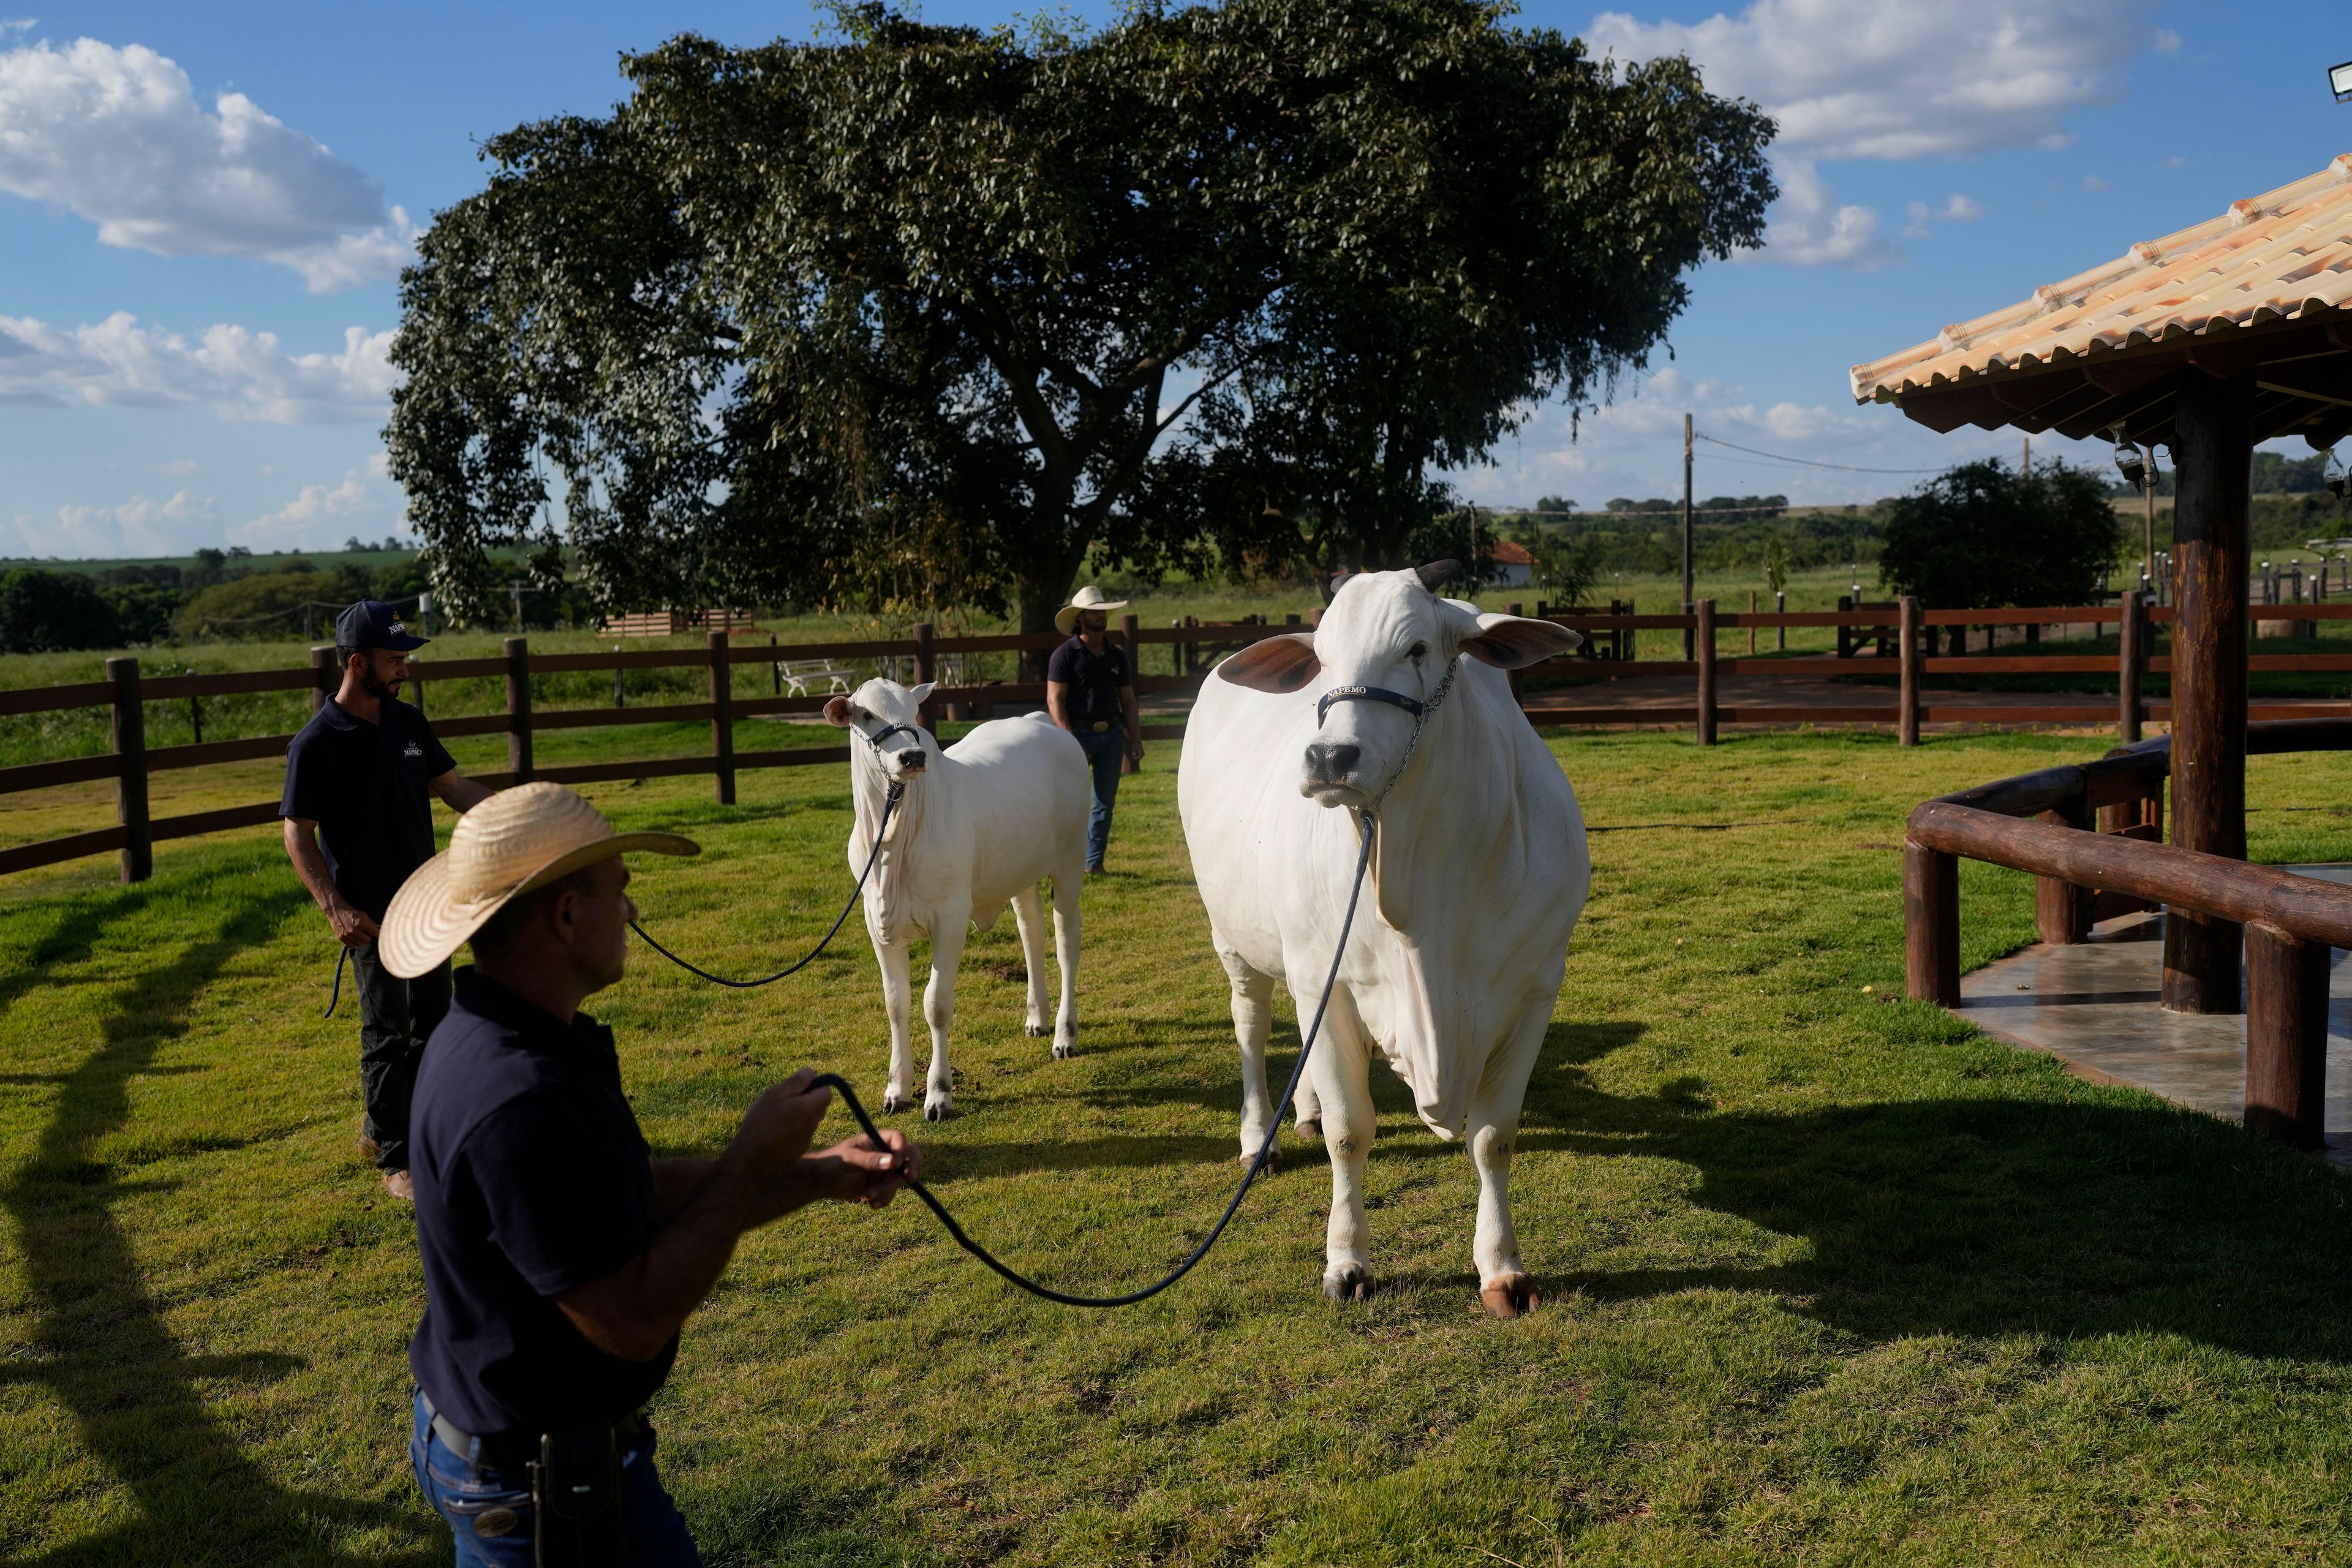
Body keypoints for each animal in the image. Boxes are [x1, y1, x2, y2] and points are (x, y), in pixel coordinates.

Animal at [823, 682, 1087, 1123]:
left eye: (914, 712)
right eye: (867, 715)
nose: (912, 757)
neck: (892, 840)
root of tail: (1041, 722)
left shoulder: (950, 918)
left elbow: (936, 1005)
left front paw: (938, 1095)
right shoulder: (876, 923)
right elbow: (896, 1003)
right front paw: (896, 1090)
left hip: (1070, 862)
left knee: (1067, 944)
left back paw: (1065, 1036)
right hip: (1019, 872)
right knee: (1032, 934)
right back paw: (1037, 1017)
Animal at [1176, 571, 1599, 1316]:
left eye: (1418, 648)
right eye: (1320, 658)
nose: (1328, 757)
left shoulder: (1534, 990)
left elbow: (1494, 1137)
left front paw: (1502, 1268)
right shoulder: (1330, 979)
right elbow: (1351, 1132)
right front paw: (1347, 1262)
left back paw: (1303, 1112)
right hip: (1237, 940)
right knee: (1252, 1026)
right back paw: (1260, 1137)